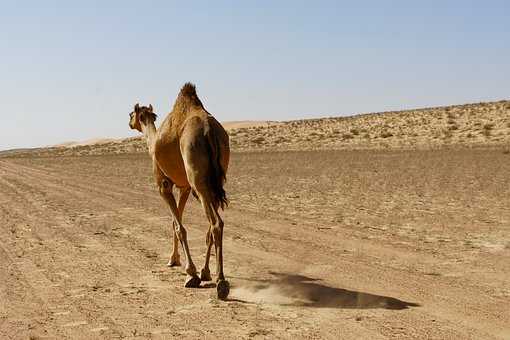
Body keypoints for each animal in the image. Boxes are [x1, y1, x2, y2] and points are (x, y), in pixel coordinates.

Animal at [128, 83, 230, 300]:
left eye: (131, 113)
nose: (129, 122)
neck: (153, 142)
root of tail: (209, 131)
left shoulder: (163, 184)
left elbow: (179, 226)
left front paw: (190, 273)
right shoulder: (184, 187)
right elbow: (177, 221)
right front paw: (176, 261)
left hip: (197, 176)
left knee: (216, 223)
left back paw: (221, 283)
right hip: (216, 179)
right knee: (211, 226)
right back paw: (208, 272)